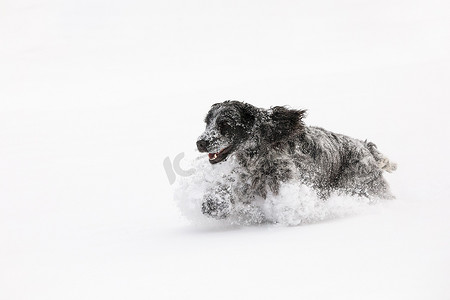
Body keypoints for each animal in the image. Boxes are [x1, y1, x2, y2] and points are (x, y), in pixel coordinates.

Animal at [195, 101, 396, 220]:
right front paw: (213, 204)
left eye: (225, 124)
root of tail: (365, 147)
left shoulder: (282, 180)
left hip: (361, 186)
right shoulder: (248, 179)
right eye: (207, 123)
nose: (200, 142)